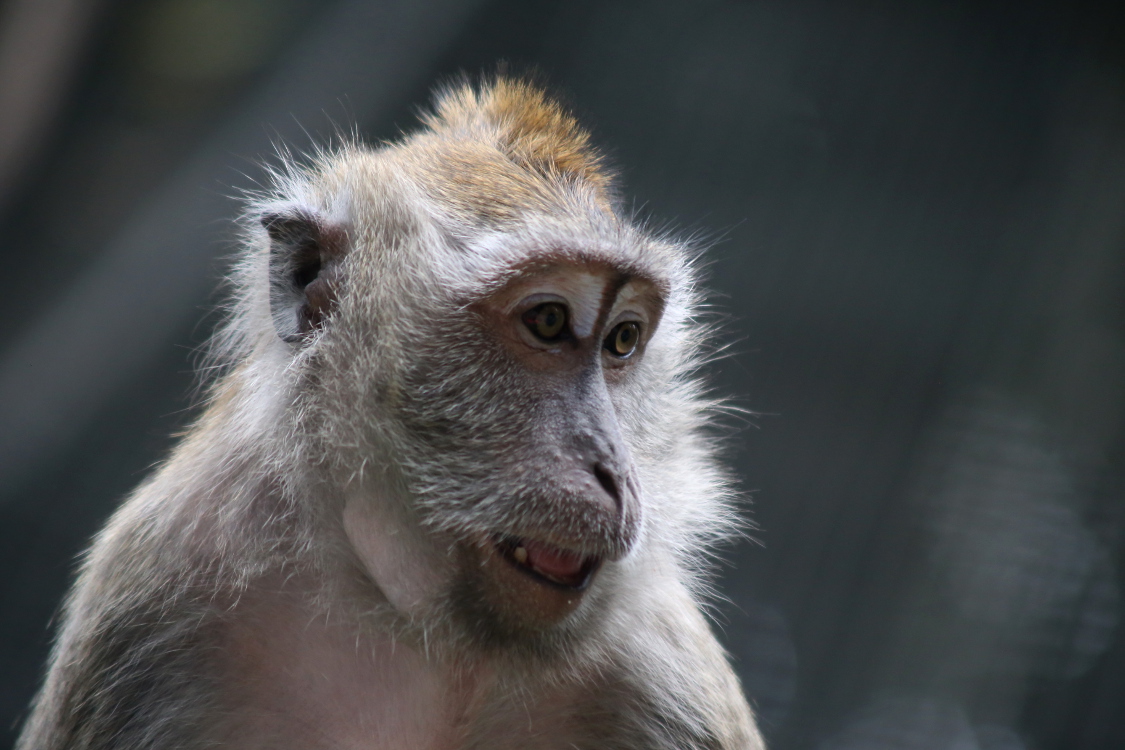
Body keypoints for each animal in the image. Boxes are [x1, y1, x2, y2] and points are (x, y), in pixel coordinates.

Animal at [17, 76, 764, 750]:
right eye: (549, 321)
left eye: (622, 340)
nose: (612, 470)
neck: (426, 633)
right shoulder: (150, 595)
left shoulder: (665, 671)